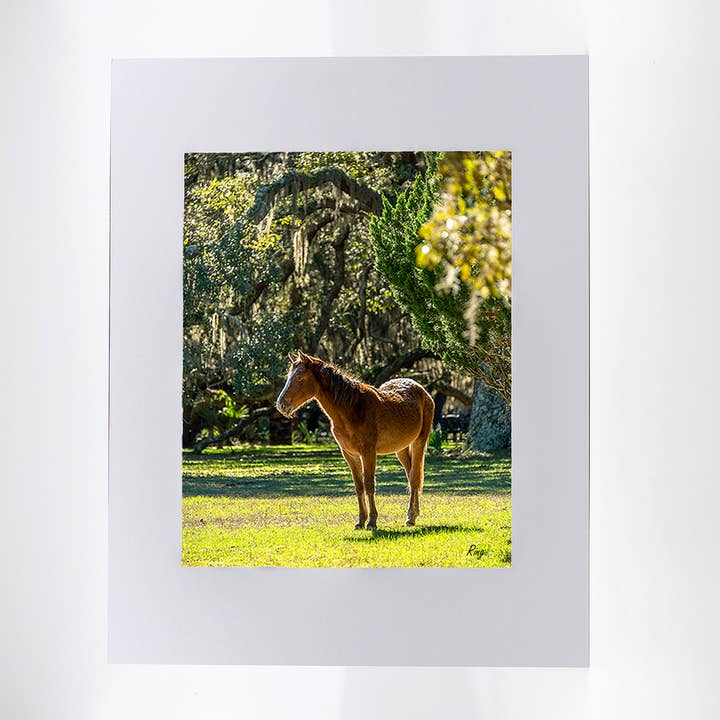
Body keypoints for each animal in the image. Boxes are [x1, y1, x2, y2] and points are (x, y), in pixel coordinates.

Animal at [275, 351, 434, 529]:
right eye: (289, 376)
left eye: (300, 377)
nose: (281, 405)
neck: (353, 408)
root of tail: (422, 391)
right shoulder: (350, 454)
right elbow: (359, 486)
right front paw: (361, 521)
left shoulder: (368, 453)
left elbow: (369, 484)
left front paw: (372, 521)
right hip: (401, 449)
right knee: (411, 475)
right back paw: (413, 513)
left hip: (419, 443)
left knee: (414, 478)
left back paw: (411, 517)